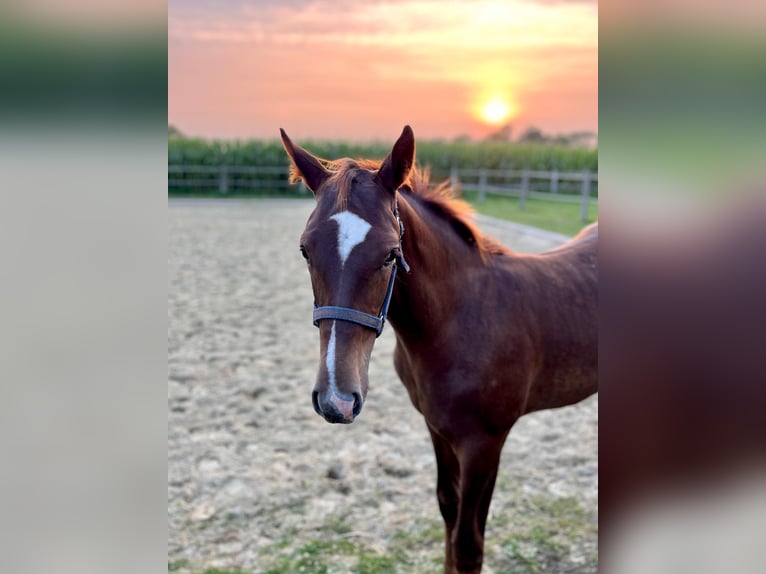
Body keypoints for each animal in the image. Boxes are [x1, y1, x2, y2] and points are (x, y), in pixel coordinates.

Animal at [282, 126, 600, 574]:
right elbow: (447, 511)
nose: (336, 400)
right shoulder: (436, 427)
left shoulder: (485, 443)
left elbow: (468, 543)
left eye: (390, 254)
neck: (459, 319)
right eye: (305, 249)